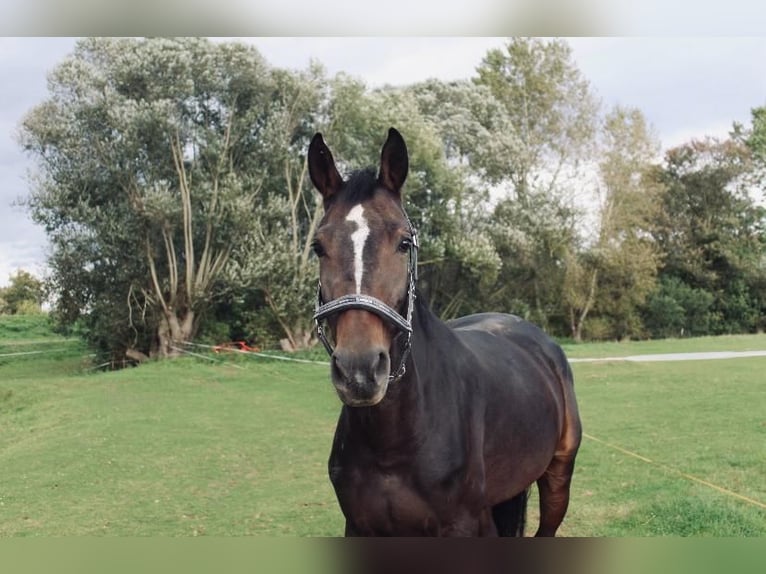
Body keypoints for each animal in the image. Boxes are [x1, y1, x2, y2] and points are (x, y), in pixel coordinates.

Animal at [307, 127, 582, 537]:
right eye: (318, 247)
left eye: (404, 242)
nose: (360, 370)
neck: (395, 441)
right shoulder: (359, 527)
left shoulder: (462, 525)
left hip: (557, 479)